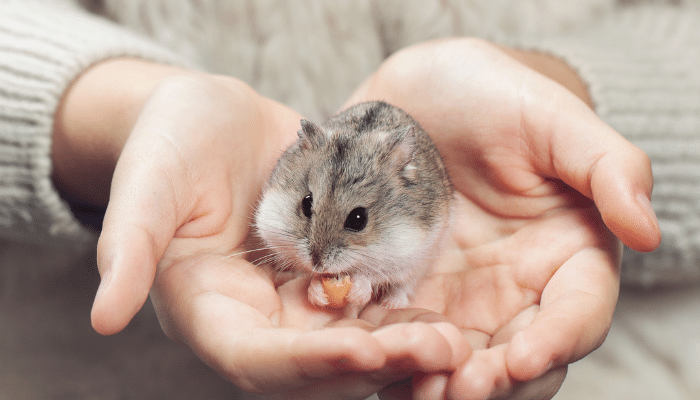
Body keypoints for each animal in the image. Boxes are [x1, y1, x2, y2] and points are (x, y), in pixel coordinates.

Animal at [254, 100, 452, 310]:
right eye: (306, 203)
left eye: (358, 219)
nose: (318, 264)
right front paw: (317, 292)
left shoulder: (409, 255)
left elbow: (371, 276)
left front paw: (359, 292)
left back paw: (391, 304)